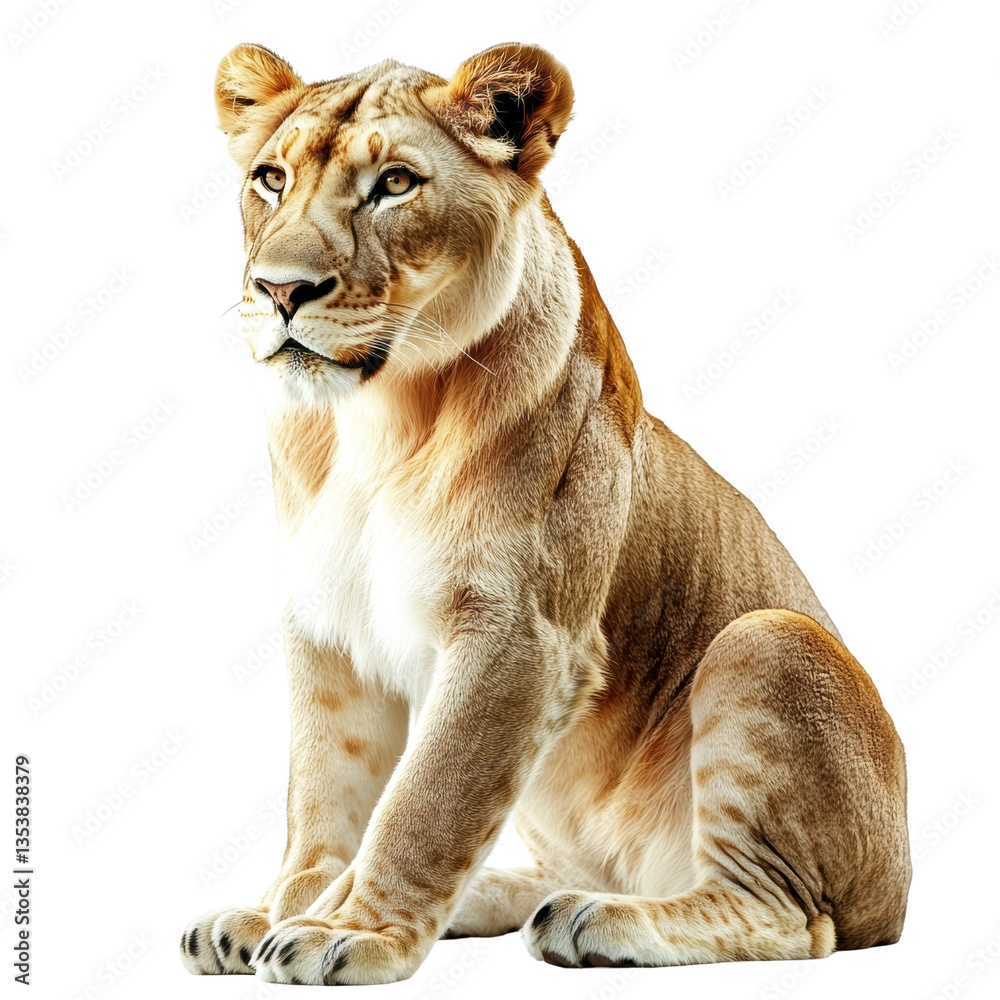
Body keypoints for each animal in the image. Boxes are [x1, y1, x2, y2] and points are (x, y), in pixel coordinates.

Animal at [180, 42, 911, 985]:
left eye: (394, 184)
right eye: (270, 179)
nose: (278, 290)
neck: (370, 428)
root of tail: (899, 893)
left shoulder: (521, 637)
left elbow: (427, 800)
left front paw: (352, 932)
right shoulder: (327, 625)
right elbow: (322, 795)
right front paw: (288, 906)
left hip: (769, 641)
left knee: (788, 917)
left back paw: (594, 922)